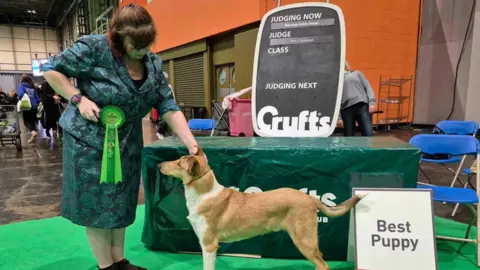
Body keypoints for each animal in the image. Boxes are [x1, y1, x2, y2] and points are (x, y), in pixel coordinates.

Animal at [158, 148, 364, 270]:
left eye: (179, 163)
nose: (159, 164)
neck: (204, 193)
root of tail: (309, 197)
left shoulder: (208, 245)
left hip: (304, 241)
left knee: (323, 265)